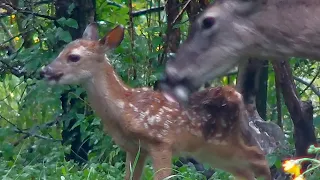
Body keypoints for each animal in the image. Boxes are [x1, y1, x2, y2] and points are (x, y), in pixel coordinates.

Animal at [38, 23, 272, 179]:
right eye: (61, 51)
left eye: (74, 57)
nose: (45, 71)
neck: (125, 109)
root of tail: (238, 98)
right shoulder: (133, 149)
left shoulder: (161, 141)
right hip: (210, 151)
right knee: (246, 169)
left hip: (223, 143)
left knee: (260, 158)